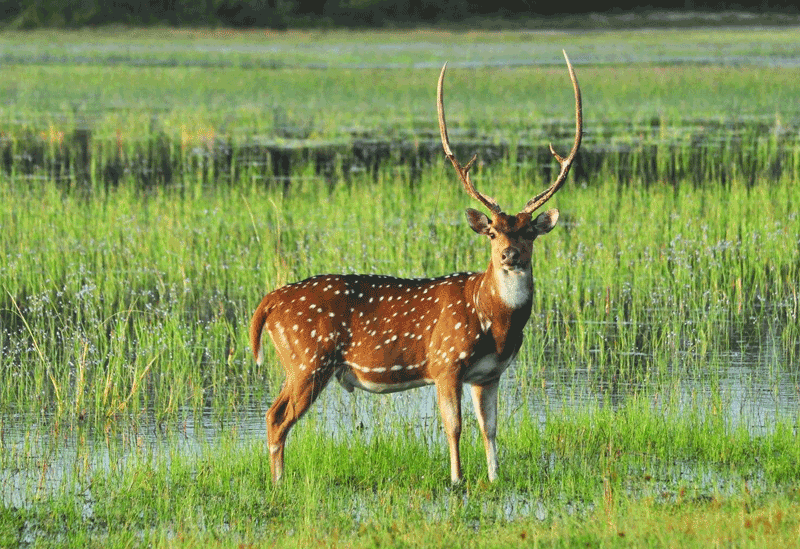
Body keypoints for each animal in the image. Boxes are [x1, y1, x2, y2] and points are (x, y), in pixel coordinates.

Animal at [250, 49, 580, 482]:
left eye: (529, 232)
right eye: (492, 232)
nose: (510, 255)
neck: (496, 321)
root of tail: (269, 303)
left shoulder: (490, 373)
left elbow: (490, 427)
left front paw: (495, 478)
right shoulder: (445, 362)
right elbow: (454, 426)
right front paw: (457, 480)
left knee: (275, 415)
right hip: (307, 358)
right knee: (276, 416)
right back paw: (278, 484)